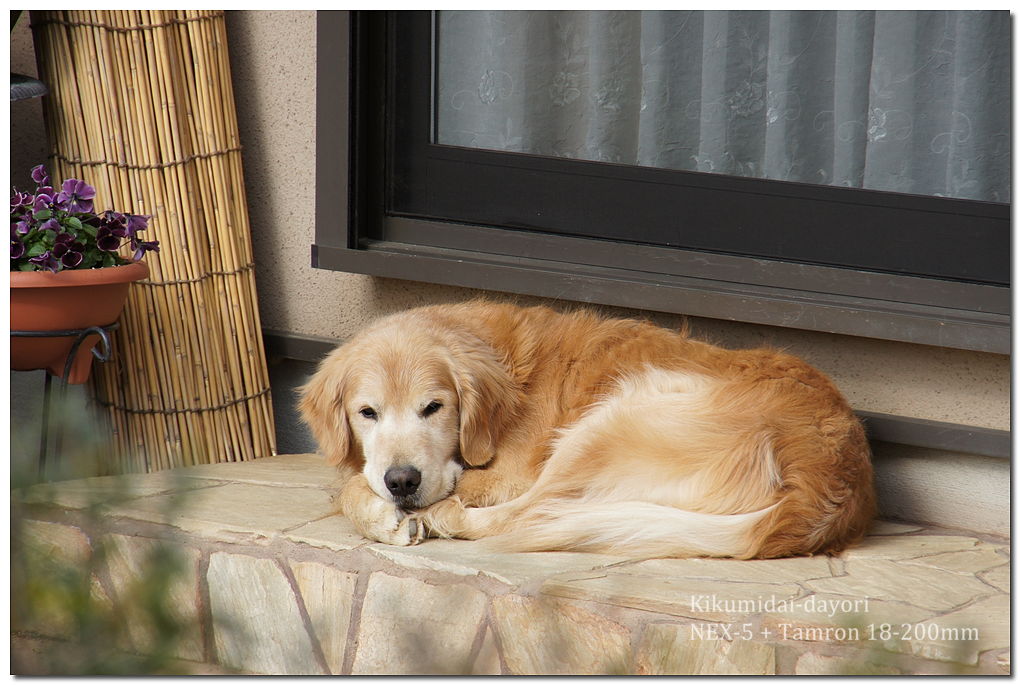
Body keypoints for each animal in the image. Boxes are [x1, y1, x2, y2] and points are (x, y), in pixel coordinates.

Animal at [297, 301, 877, 558]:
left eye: (434, 407)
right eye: (367, 413)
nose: (402, 481)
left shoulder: (500, 474)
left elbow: (351, 485)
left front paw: (390, 512)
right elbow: (352, 481)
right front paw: (382, 511)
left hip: (619, 414)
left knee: (531, 513)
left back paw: (444, 518)